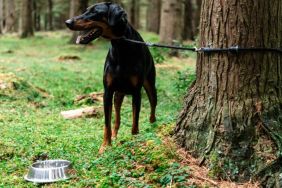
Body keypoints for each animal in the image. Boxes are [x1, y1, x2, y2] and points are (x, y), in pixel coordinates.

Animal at [66, 2, 158, 153]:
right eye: (86, 10)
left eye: (94, 12)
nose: (67, 22)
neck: (121, 46)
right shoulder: (108, 92)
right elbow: (107, 123)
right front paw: (105, 146)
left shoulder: (136, 93)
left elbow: (135, 122)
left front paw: (134, 141)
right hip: (118, 94)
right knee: (117, 118)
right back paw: (114, 136)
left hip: (150, 85)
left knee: (153, 106)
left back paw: (152, 124)